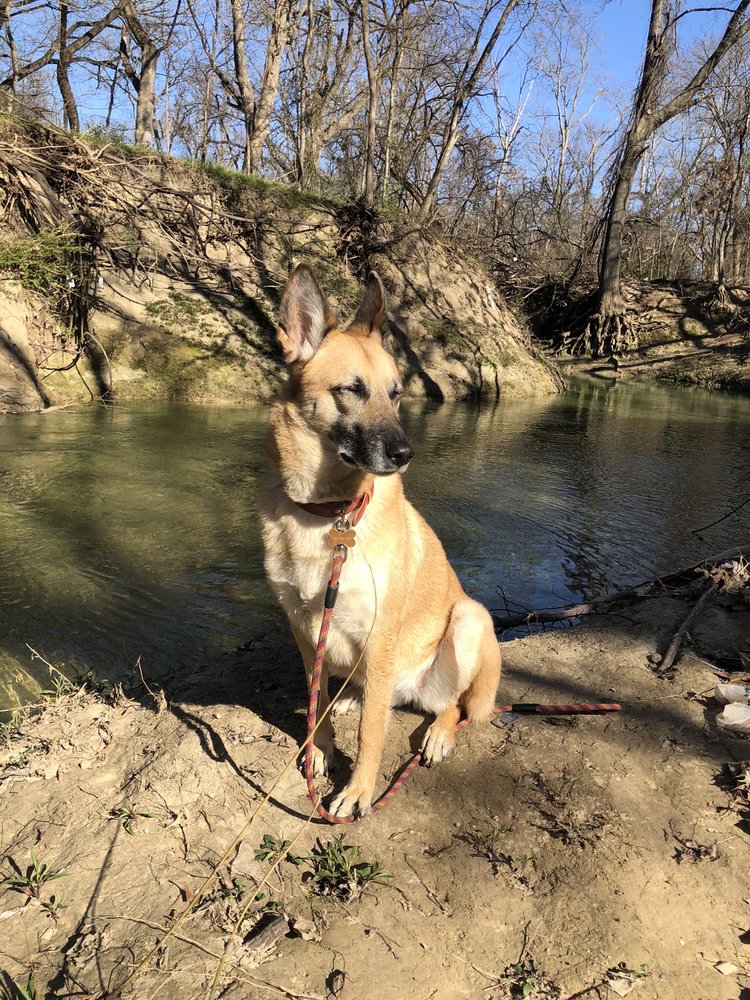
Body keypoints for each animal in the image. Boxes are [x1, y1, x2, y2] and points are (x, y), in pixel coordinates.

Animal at [259, 265, 501, 818]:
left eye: (395, 393)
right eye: (351, 389)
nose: (405, 453)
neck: (330, 514)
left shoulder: (380, 632)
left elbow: (371, 733)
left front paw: (358, 790)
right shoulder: (304, 629)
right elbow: (316, 705)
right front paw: (319, 751)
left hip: (469, 618)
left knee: (447, 705)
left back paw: (437, 734)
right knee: (368, 694)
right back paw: (354, 697)